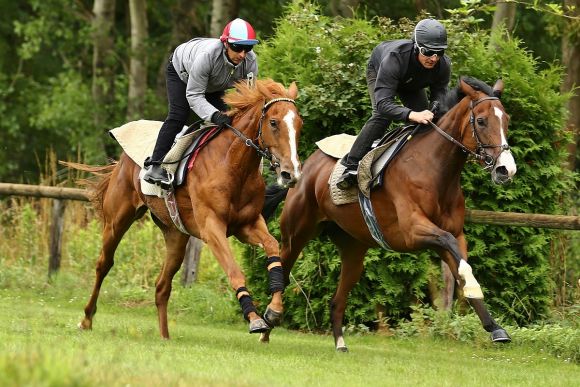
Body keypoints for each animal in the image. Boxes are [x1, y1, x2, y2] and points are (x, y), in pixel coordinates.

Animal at [68, 79, 304, 340]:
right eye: (273, 122)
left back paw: (164, 336)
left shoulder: (247, 225)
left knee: (162, 286)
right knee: (104, 264)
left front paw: (273, 310)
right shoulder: (212, 228)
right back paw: (86, 319)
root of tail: (122, 160)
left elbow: (272, 247)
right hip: (117, 221)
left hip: (176, 235)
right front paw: (254, 319)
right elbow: (234, 271)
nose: (291, 173)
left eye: (299, 124)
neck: (234, 166)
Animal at [262, 76, 516, 352]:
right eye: (481, 120)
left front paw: (495, 328)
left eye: (506, 120)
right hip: (296, 234)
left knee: (337, 299)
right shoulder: (413, 231)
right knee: (282, 270)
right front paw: (476, 294)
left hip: (353, 249)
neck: (434, 169)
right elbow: (452, 251)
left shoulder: (455, 235)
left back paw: (339, 342)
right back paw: (267, 321)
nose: (506, 169)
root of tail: (305, 166)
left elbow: (460, 266)